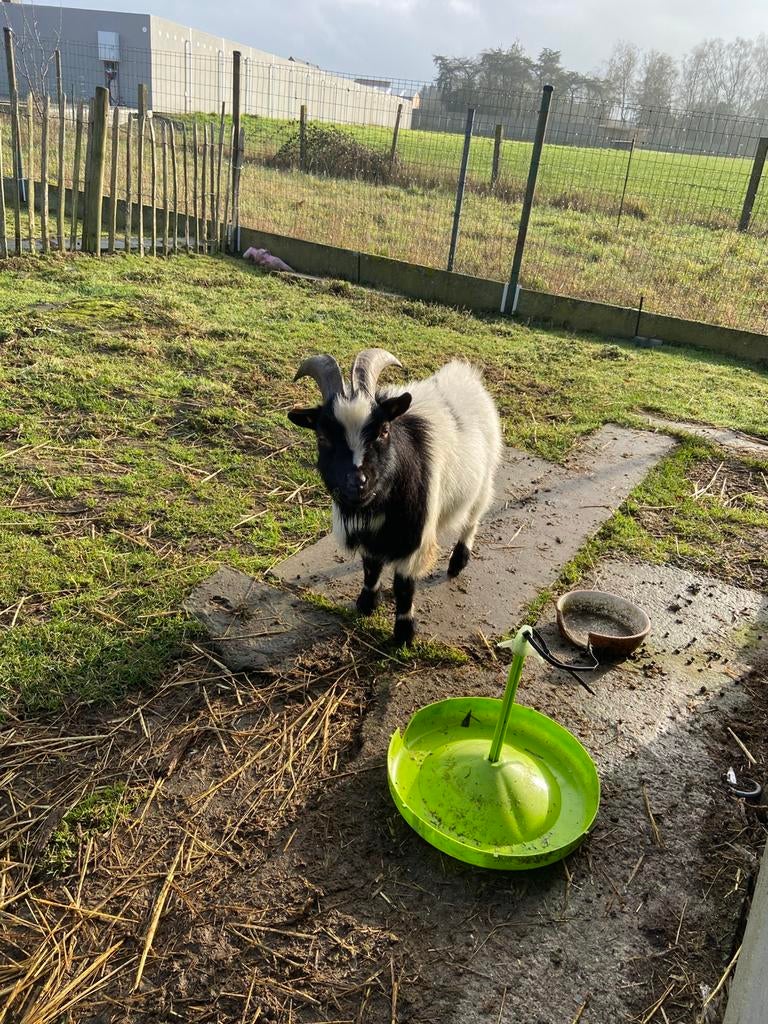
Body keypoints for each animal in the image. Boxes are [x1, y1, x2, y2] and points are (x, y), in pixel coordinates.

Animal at [288, 349, 502, 645]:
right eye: (322, 437)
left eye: (384, 430)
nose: (358, 484)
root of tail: (464, 374)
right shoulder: (369, 535)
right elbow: (370, 567)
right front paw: (367, 604)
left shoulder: (414, 538)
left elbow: (404, 586)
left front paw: (403, 634)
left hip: (484, 481)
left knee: (472, 520)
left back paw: (458, 562)